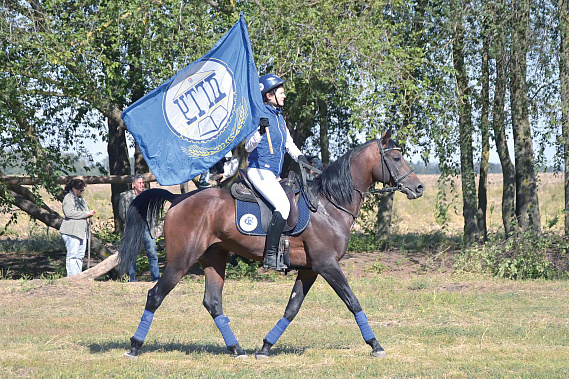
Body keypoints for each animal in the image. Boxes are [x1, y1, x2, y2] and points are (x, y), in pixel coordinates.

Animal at [118, 132, 422, 360]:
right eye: (396, 157)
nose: (419, 188)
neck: (329, 205)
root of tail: (178, 199)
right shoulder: (327, 265)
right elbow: (352, 301)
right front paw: (375, 345)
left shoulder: (310, 269)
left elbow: (292, 308)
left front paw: (265, 347)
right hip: (181, 262)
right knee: (155, 295)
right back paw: (134, 346)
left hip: (214, 258)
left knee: (213, 302)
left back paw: (237, 349)